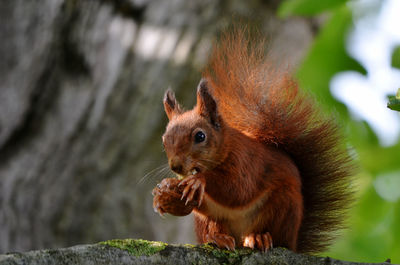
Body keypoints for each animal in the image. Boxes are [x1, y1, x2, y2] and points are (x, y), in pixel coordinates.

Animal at [152, 27, 354, 253]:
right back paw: (217, 238)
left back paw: (259, 238)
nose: (175, 166)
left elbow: (237, 188)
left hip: (282, 206)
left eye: (200, 136)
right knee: (211, 229)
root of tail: (293, 242)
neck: (224, 149)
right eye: (164, 140)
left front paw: (198, 180)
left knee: (271, 232)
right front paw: (165, 191)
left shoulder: (246, 162)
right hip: (209, 222)